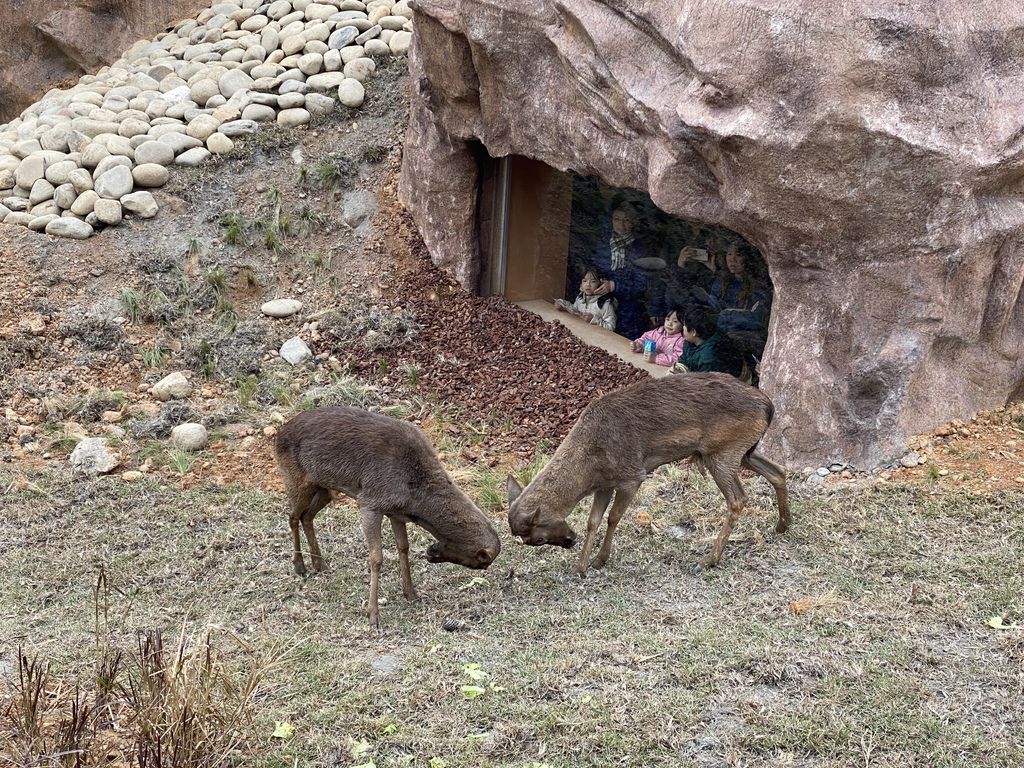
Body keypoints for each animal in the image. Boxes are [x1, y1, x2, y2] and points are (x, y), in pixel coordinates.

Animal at [274, 405, 501, 626]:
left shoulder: (396, 513)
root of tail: (279, 435)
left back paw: (320, 564)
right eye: (482, 563)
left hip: (325, 489)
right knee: (292, 516)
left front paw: (411, 593)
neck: (414, 497)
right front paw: (373, 615)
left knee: (306, 516)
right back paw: (300, 565)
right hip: (296, 480)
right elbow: (376, 558)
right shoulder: (370, 503)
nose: (430, 552)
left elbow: (403, 547)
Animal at [507, 372, 786, 577]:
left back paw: (707, 560)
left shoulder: (632, 475)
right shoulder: (605, 484)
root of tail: (769, 406)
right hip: (745, 450)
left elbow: (614, 517)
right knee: (778, 472)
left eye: (539, 539)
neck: (591, 465)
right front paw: (580, 567)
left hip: (723, 451)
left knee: (738, 499)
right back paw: (783, 525)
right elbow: (593, 521)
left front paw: (600, 559)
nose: (570, 540)